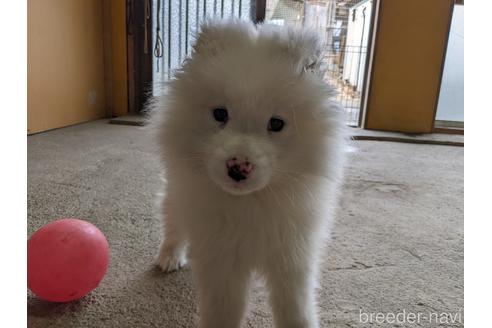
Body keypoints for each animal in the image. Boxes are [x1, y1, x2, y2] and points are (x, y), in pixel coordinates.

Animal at [153, 19, 346, 328]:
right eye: (220, 114)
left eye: (276, 123)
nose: (238, 168)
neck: (251, 203)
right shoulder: (222, 264)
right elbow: (222, 313)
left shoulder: (292, 258)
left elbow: (296, 310)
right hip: (175, 193)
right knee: (173, 224)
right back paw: (169, 257)